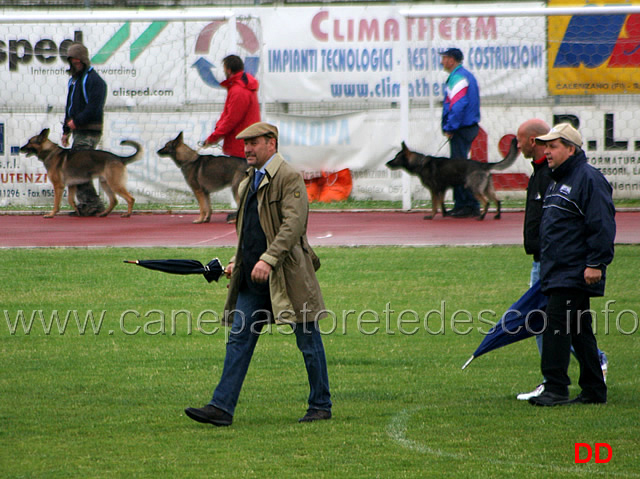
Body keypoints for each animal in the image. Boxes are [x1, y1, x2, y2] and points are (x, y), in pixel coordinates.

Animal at [384, 137, 520, 221]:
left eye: (396, 157)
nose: (387, 163)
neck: (420, 163)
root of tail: (483, 165)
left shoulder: (434, 190)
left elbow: (434, 205)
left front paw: (431, 216)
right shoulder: (442, 189)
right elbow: (441, 203)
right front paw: (445, 214)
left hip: (475, 190)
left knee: (486, 202)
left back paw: (481, 217)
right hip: (487, 189)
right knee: (498, 200)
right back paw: (497, 216)